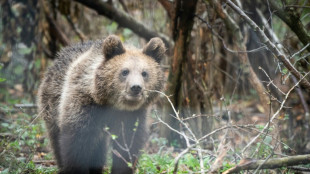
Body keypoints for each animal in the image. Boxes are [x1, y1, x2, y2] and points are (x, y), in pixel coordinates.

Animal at [37, 35, 166, 174]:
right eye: (125, 71)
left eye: (144, 73)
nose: (136, 87)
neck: (112, 104)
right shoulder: (84, 107)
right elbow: (76, 144)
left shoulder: (131, 116)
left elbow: (127, 145)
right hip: (52, 104)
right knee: (57, 139)